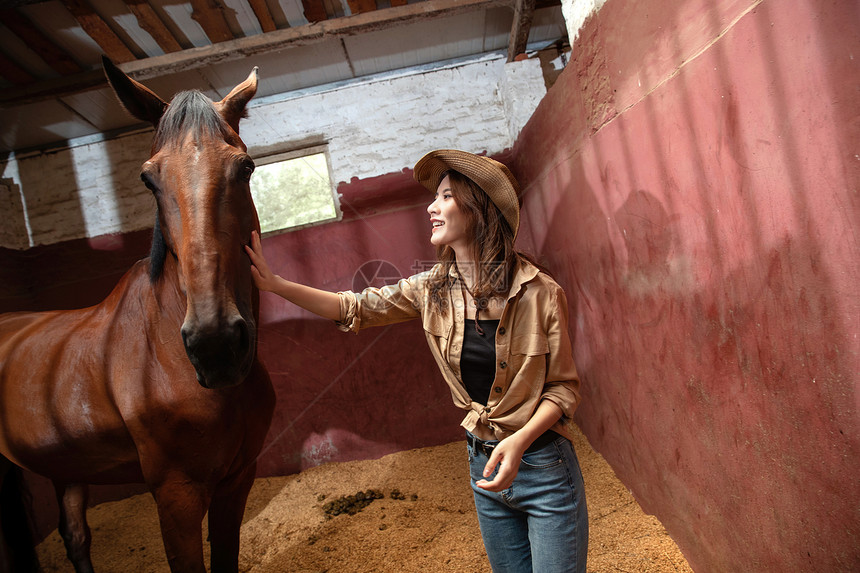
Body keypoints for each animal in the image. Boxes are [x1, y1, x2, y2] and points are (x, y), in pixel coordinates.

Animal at [0, 59, 276, 572]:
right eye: (148, 180)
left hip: (63, 466)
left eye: (245, 167)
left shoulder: (237, 480)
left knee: (75, 534)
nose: (215, 345)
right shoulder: (176, 498)